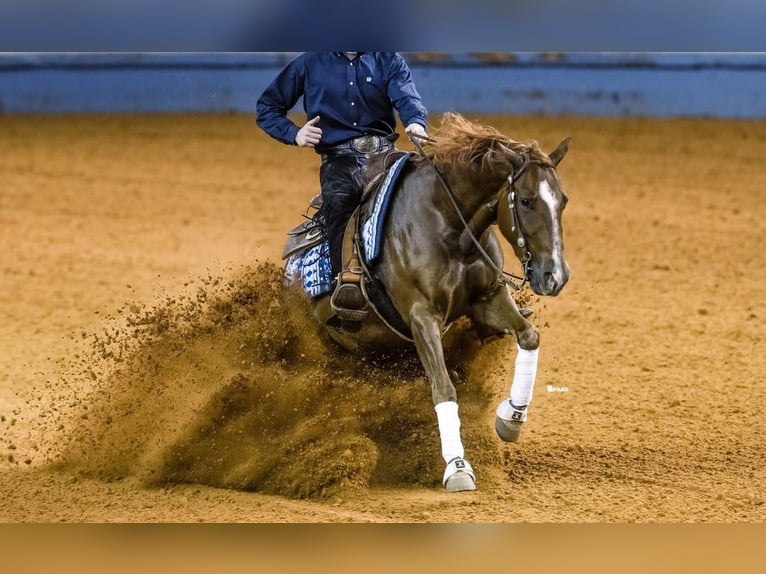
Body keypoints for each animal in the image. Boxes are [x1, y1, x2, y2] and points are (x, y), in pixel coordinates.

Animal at [284, 113, 568, 496]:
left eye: (562, 201)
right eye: (525, 201)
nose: (556, 275)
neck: (449, 224)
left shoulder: (488, 298)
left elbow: (529, 336)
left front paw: (511, 417)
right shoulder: (421, 317)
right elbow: (443, 387)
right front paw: (458, 466)